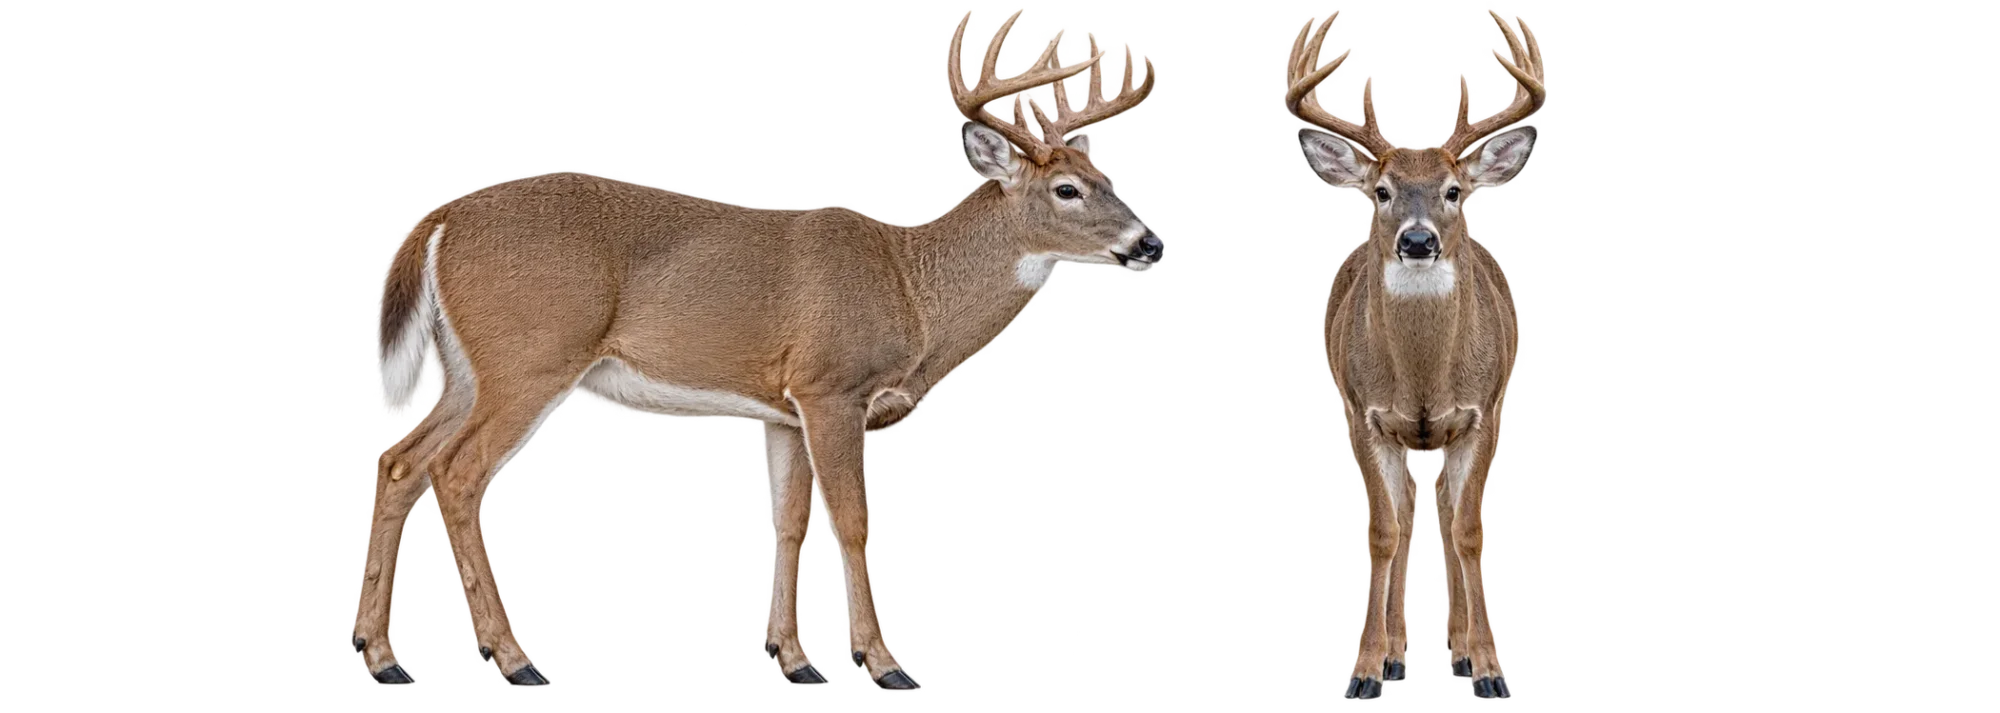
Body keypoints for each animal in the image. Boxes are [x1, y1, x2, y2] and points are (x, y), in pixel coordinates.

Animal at [349, 7, 1161, 691]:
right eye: (1066, 189)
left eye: (1107, 176)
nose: (1151, 242)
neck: (910, 289)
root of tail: (438, 221)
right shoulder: (832, 386)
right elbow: (855, 522)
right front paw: (885, 664)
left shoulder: (781, 409)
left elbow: (790, 523)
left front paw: (797, 660)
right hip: (531, 353)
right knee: (456, 477)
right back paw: (514, 660)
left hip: (467, 370)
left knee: (398, 462)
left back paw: (384, 657)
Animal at [1283, 6, 1545, 701]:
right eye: (1380, 191)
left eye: (1453, 190)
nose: (1418, 240)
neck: (1424, 382)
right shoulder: (1361, 413)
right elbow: (1384, 531)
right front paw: (1368, 669)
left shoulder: (1485, 410)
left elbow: (1467, 530)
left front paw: (1487, 668)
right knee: (1403, 519)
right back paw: (1400, 654)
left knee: (1448, 522)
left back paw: (1458, 653)